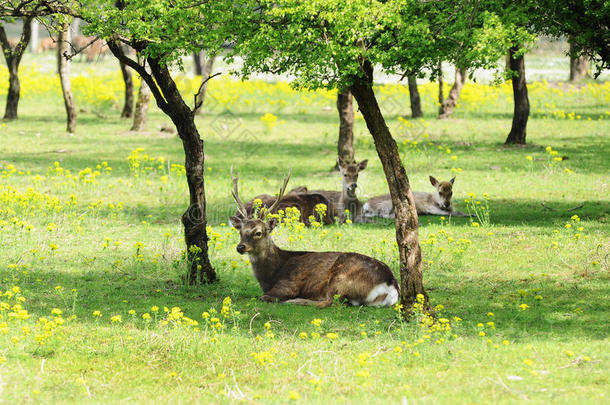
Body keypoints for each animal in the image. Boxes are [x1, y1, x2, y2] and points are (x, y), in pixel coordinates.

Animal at [230, 168, 396, 306]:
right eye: (241, 231)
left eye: (258, 232)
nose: (240, 247)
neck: (272, 274)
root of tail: (391, 286)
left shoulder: (289, 283)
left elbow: (265, 296)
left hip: (342, 277)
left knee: (330, 302)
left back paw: (295, 301)